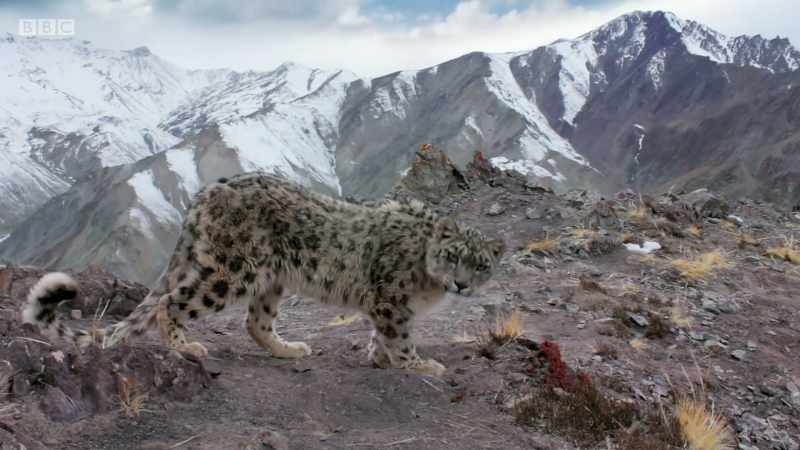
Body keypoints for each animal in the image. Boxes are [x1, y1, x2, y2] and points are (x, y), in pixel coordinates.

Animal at [23, 173, 505, 376]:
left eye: (481, 265)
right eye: (452, 256)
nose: (462, 284)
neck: (429, 286)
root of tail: (209, 190)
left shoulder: (387, 304)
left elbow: (380, 336)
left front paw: (379, 357)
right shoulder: (390, 300)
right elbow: (400, 338)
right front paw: (419, 364)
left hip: (271, 279)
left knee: (256, 322)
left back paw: (289, 349)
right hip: (233, 272)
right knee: (171, 301)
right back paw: (186, 346)